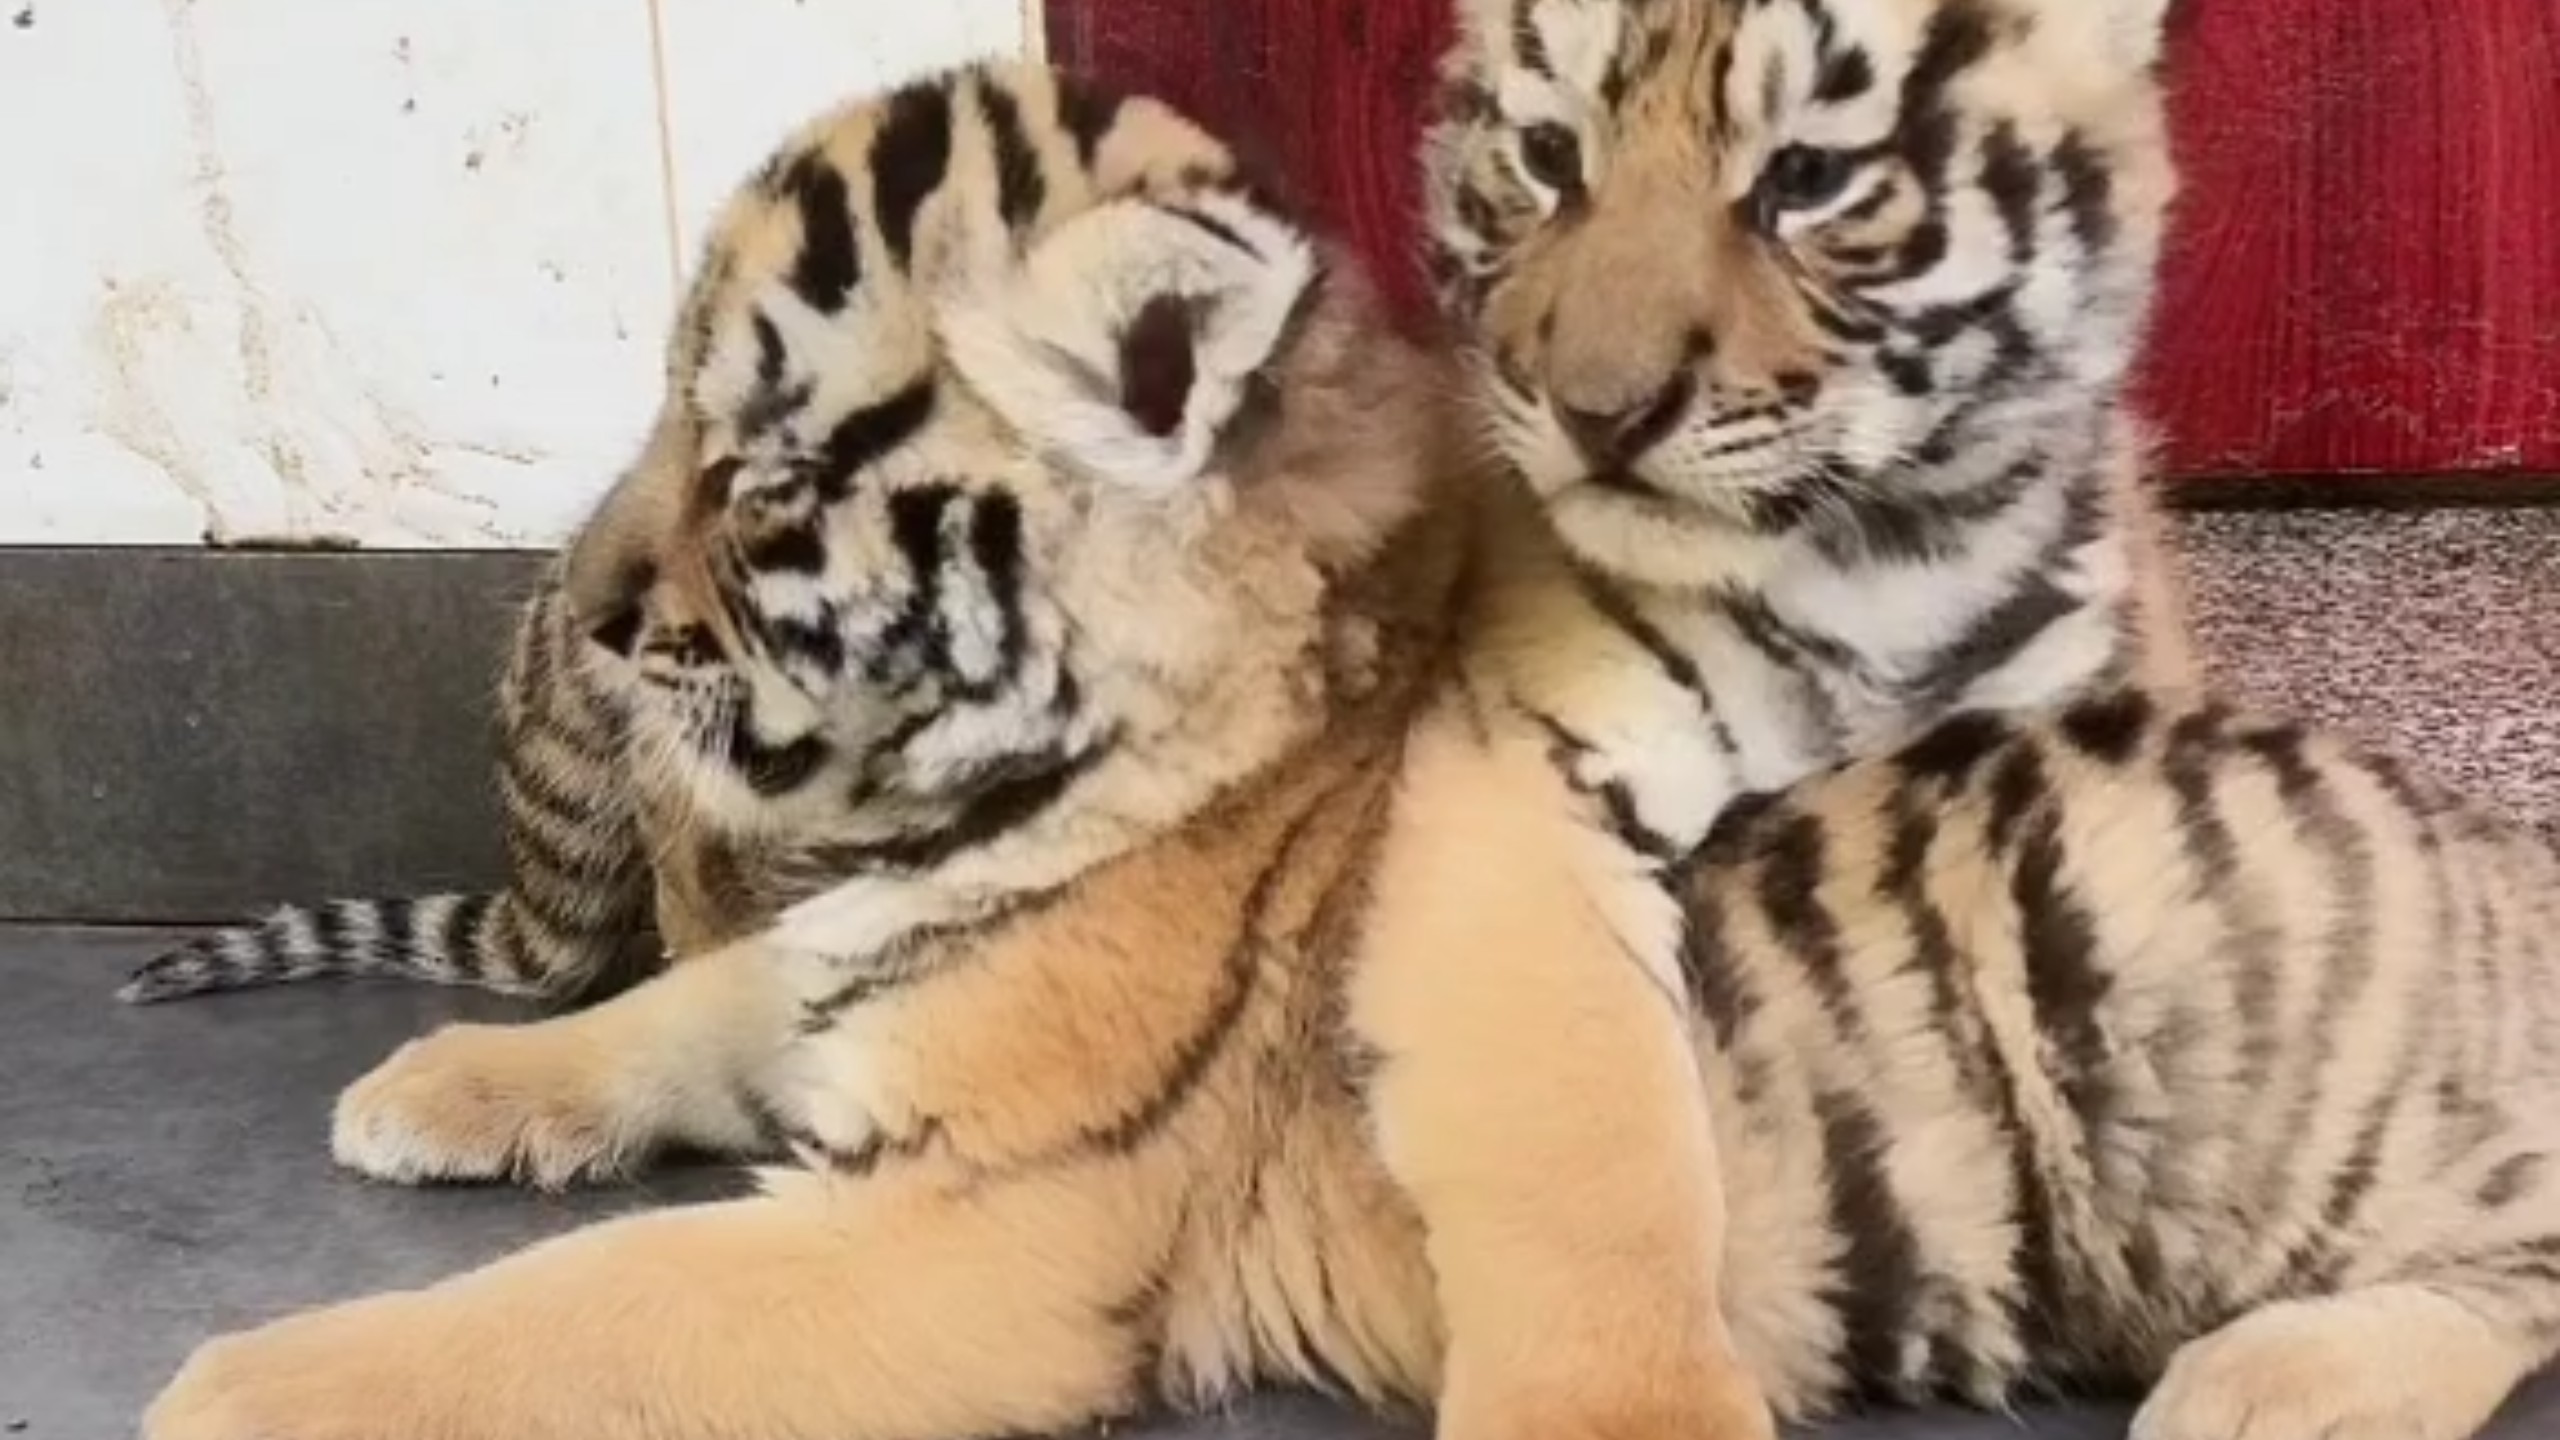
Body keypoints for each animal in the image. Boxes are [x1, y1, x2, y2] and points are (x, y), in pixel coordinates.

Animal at [144, 54, 2560, 1440]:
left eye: (760, 473)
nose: (583, 616)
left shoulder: (982, 1226)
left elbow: (572, 1322)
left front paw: (230, 1382)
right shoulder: (863, 994)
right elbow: (685, 1000)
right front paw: (442, 1082)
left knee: (2509, 1256)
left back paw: (2268, 1394)